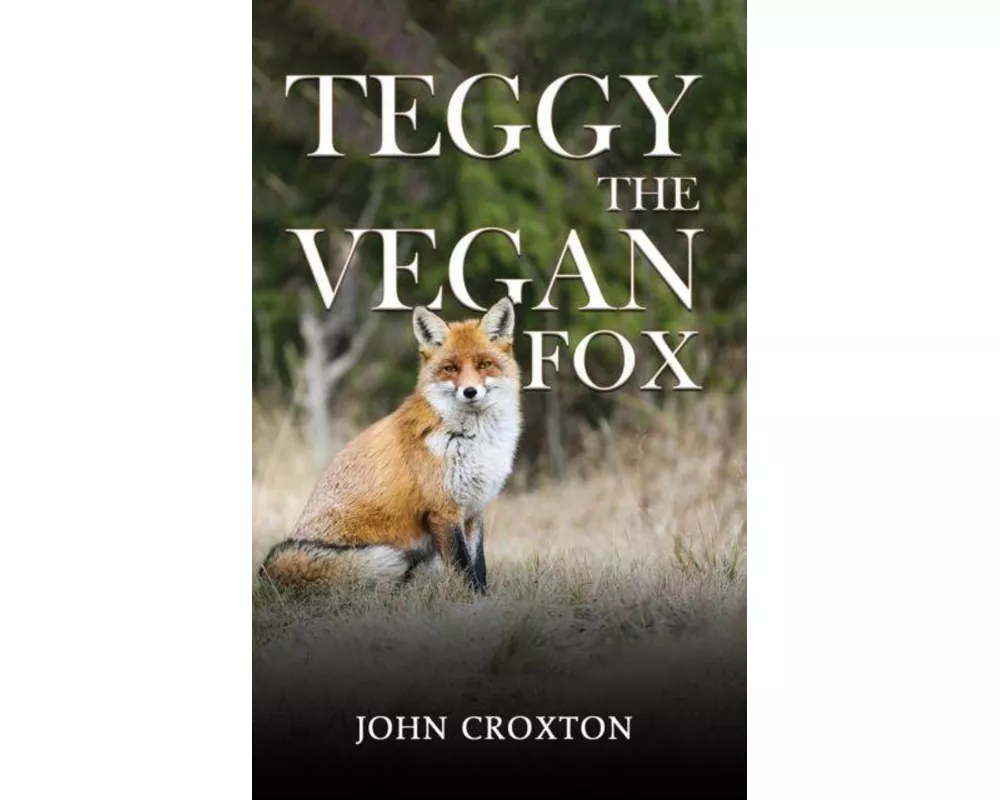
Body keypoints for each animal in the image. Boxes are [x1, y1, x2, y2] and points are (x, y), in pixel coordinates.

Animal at [259, 296, 521, 595]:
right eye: (450, 368)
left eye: (484, 364)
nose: (469, 392)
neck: (473, 440)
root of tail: (270, 574)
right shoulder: (444, 511)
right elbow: (464, 569)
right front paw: (474, 600)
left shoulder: (473, 511)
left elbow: (479, 565)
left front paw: (486, 596)